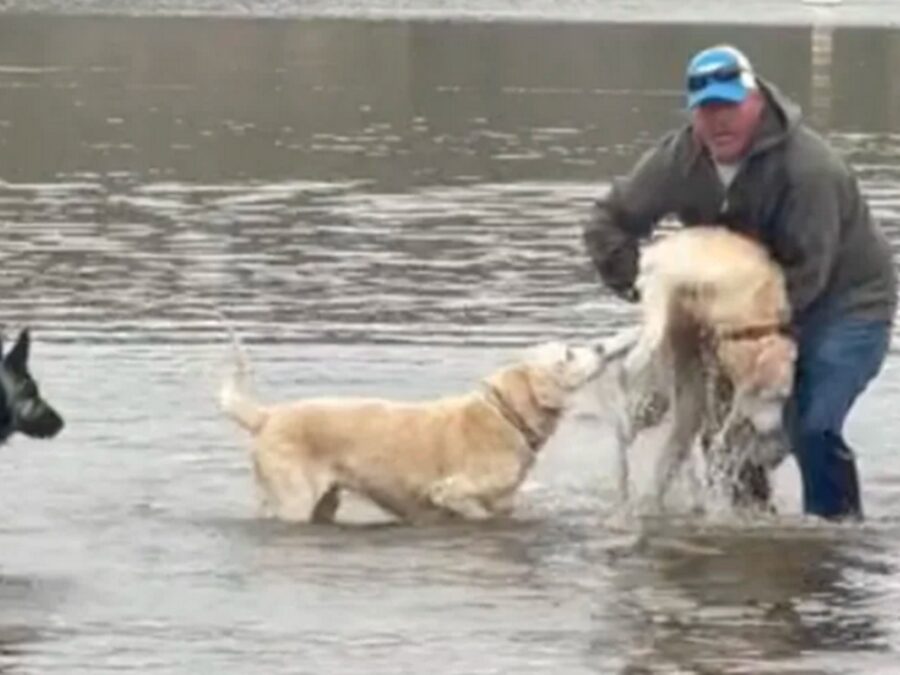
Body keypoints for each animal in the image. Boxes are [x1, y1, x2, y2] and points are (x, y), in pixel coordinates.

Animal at [219, 340, 604, 524]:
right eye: (568, 353)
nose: (601, 346)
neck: (507, 416)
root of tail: (267, 415)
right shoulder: (450, 493)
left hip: (323, 500)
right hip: (295, 500)